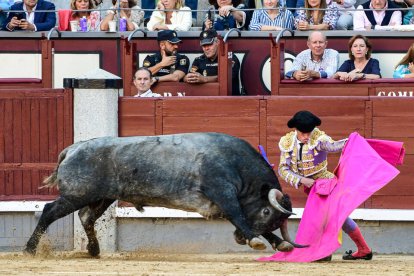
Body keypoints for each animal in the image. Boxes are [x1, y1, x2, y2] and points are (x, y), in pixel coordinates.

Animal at [25, 133, 304, 256]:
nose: (238, 239)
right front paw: (255, 239)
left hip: (101, 198)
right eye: (267, 210)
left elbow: (243, 218)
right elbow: (239, 215)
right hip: (77, 195)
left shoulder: (223, 202)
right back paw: (30, 249)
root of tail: (73, 148)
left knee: (86, 218)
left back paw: (94, 251)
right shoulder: (222, 192)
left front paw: (279, 243)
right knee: (49, 211)